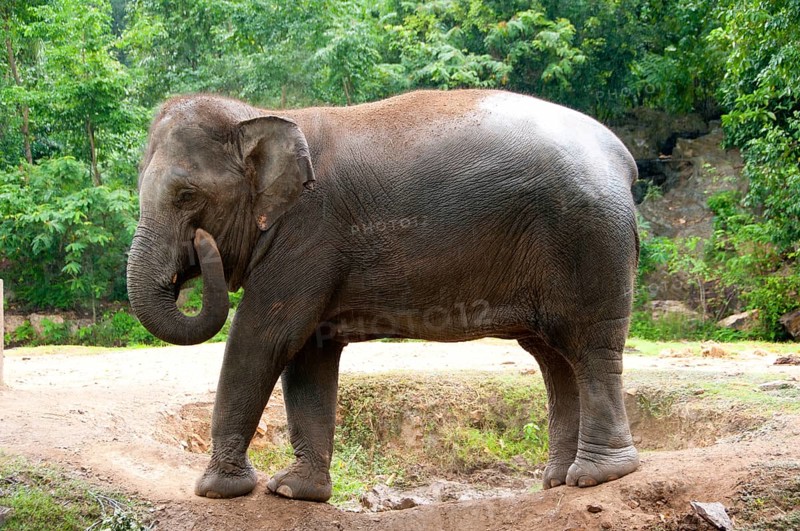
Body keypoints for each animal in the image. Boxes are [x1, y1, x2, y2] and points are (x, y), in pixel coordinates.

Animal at [127, 89, 641, 502]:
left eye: (187, 196)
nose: (201, 244)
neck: (260, 115)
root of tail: (621, 156)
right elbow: (309, 355)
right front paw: (295, 492)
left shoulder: (308, 234)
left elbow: (265, 338)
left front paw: (218, 491)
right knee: (553, 357)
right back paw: (557, 481)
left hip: (590, 237)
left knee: (589, 347)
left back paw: (598, 477)